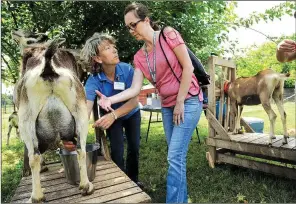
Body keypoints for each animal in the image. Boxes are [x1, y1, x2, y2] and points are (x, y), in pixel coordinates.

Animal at [11, 30, 93, 202]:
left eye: (30, 36)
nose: (15, 32)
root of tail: (48, 67)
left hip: (26, 121)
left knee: (33, 157)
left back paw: (36, 197)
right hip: (81, 114)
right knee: (81, 149)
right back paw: (85, 186)